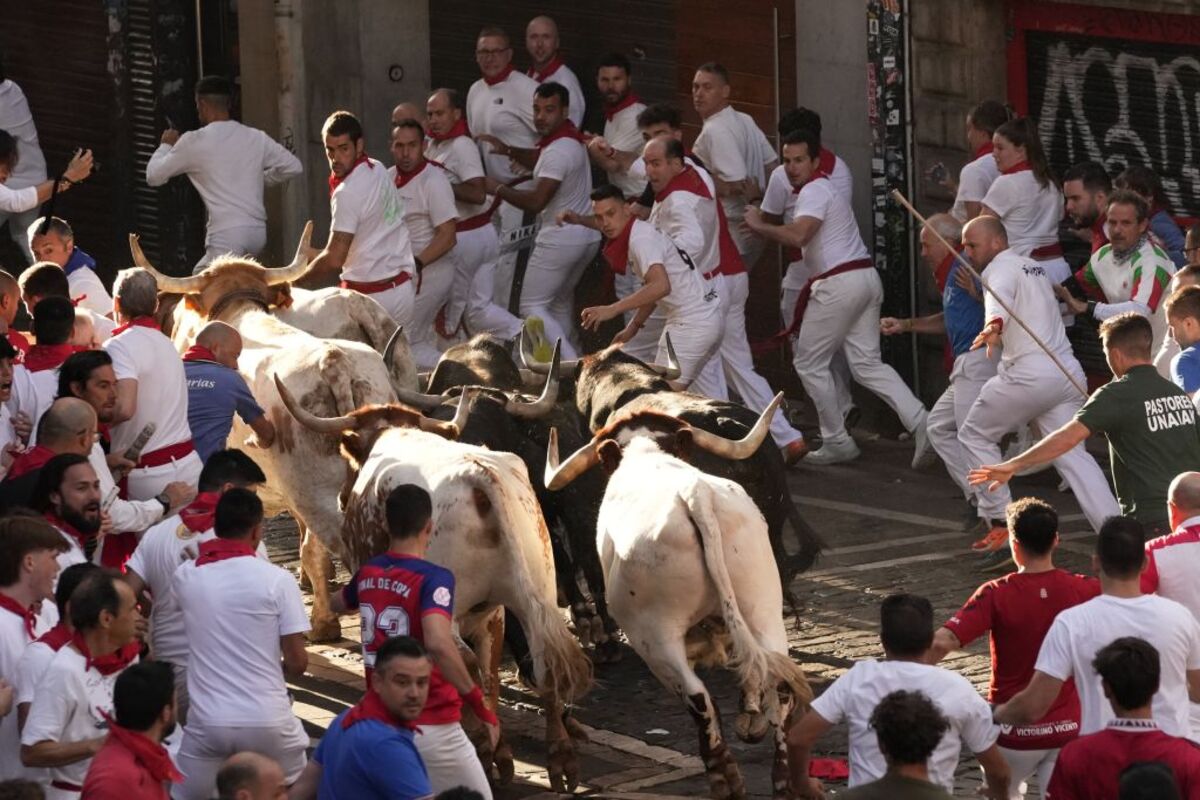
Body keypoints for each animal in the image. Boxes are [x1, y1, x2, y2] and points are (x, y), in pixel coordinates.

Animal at [272, 371, 590, 796]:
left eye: (351, 459)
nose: (341, 498)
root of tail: (480, 478)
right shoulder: (491, 614)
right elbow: (491, 672)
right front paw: (502, 749)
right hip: (533, 594)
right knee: (540, 664)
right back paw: (556, 758)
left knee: (465, 661)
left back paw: (482, 748)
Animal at [547, 393, 811, 800]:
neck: (647, 454)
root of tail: (696, 498)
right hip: (763, 608)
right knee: (777, 680)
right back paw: (781, 779)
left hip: (655, 638)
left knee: (698, 697)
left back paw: (725, 778)